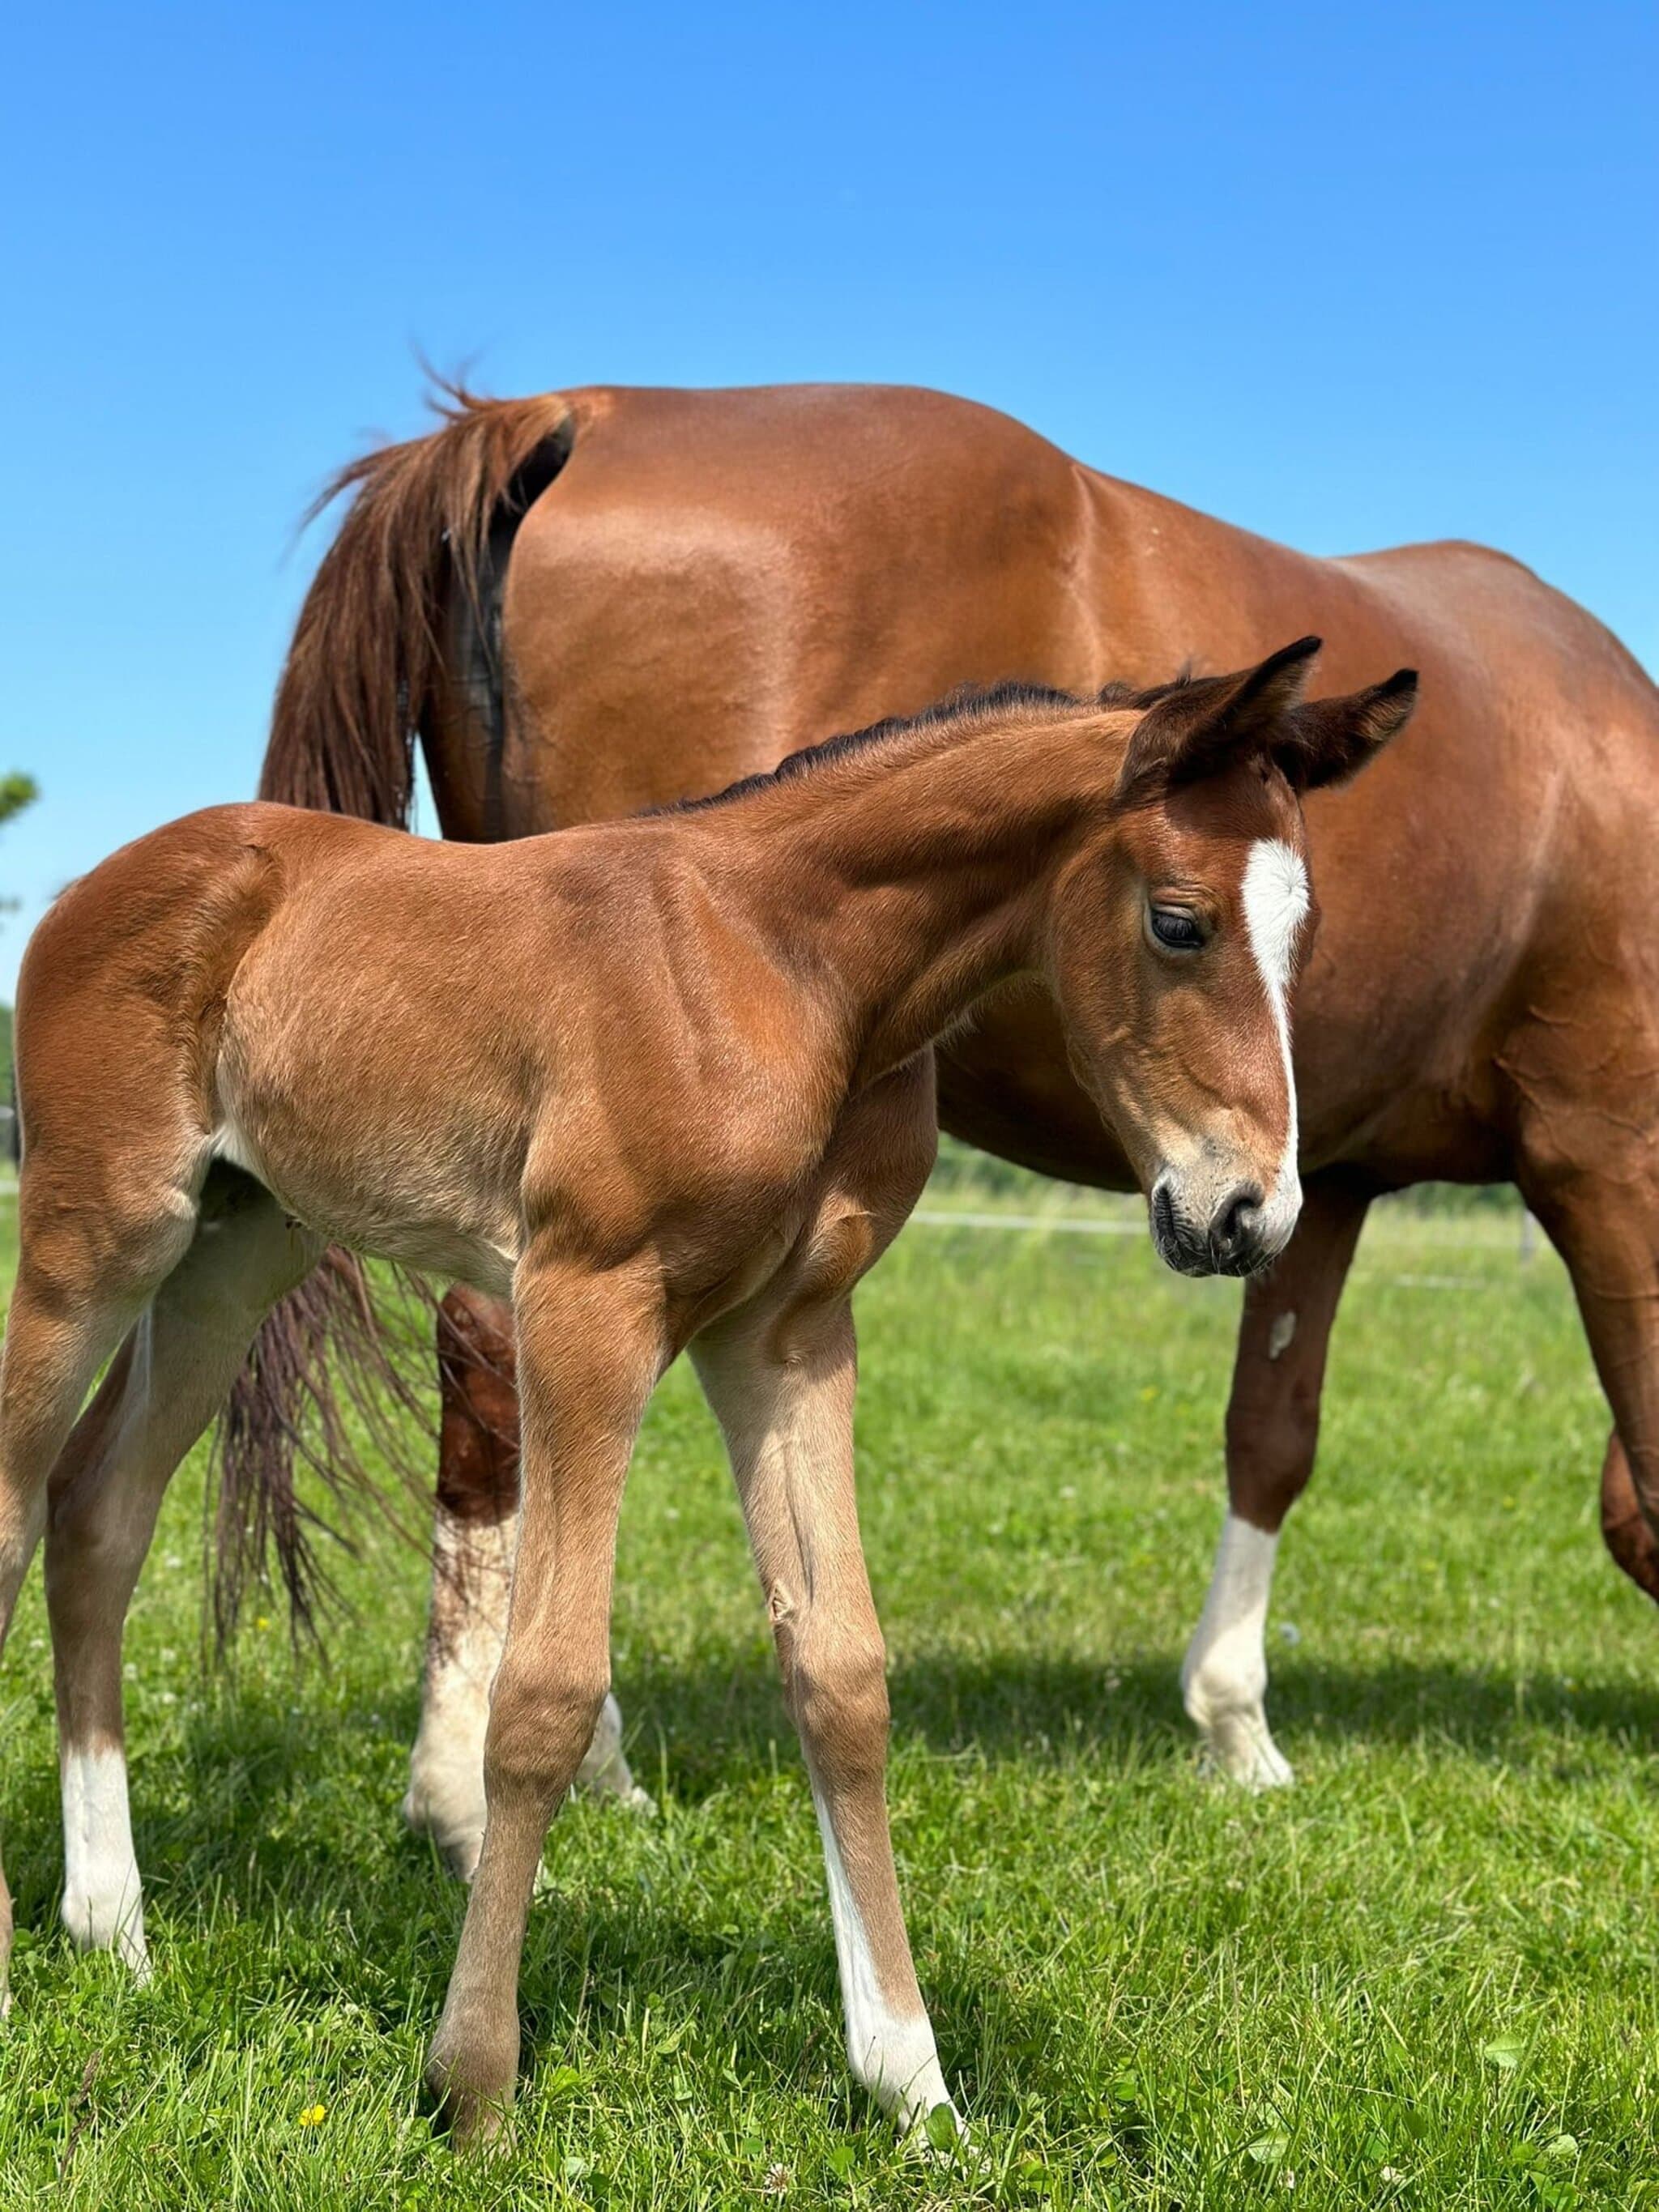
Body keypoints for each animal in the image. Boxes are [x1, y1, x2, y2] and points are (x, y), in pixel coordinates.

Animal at [1, 643, 1410, 2136]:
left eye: (1304, 935)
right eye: (1179, 922)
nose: (1250, 1214)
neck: (782, 967)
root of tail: (102, 879)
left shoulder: (787, 1336)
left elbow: (841, 1672)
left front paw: (911, 2081)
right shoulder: (584, 1304)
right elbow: (544, 1691)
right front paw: (472, 2085)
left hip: (235, 1249)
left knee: (99, 1516)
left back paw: (112, 1924)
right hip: (99, 1238)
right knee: (22, 1505)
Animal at [253, 381, 1659, 1826]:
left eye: (1305, 931)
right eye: (1177, 922)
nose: (1231, 1205)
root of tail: (565, 410)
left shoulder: (1324, 1186)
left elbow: (1272, 1431)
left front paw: (1233, 1724)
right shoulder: (1608, 1149)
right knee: (495, 1366)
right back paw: (480, 1782)